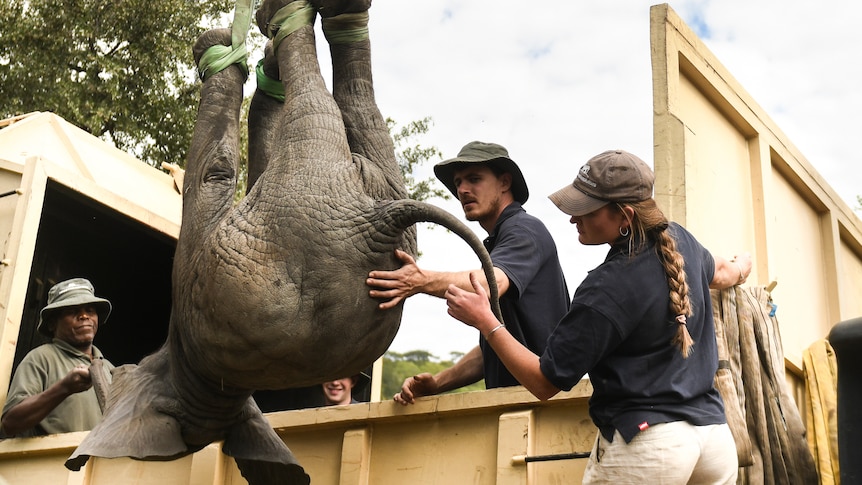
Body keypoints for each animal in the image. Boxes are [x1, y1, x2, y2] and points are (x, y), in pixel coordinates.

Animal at [62, 1, 500, 482]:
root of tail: (375, 221)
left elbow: (212, 170)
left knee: (310, 105)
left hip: (306, 184)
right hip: (352, 182)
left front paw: (222, 47)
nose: (105, 363)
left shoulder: (201, 260)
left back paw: (277, 22)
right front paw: (258, 55)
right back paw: (330, 18)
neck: (210, 387)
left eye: (124, 375)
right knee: (353, 108)